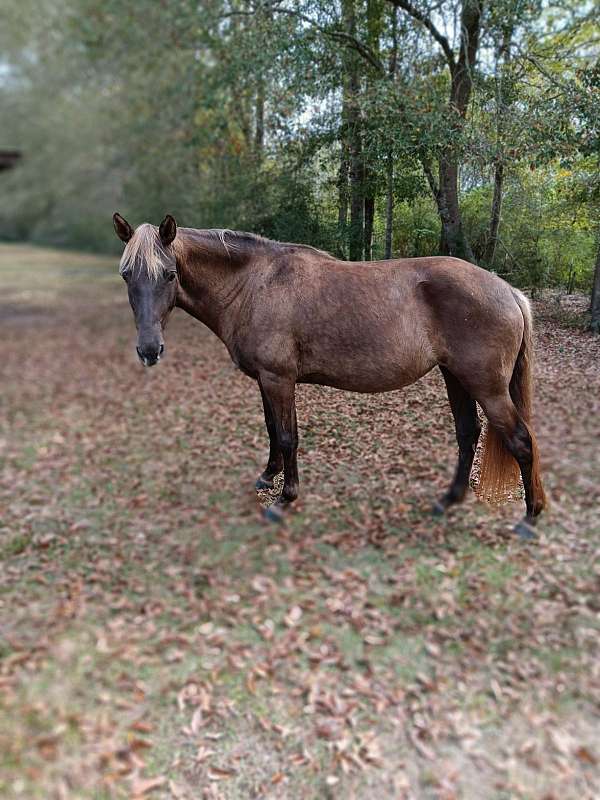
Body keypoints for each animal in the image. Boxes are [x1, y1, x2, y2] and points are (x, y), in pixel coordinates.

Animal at [113, 212, 548, 536]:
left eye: (169, 274)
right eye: (127, 275)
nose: (149, 350)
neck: (255, 284)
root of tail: (509, 291)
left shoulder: (279, 379)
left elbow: (287, 437)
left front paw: (285, 499)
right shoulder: (266, 381)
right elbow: (272, 429)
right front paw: (267, 477)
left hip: (487, 387)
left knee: (522, 441)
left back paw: (530, 519)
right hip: (455, 377)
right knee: (467, 434)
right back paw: (447, 501)